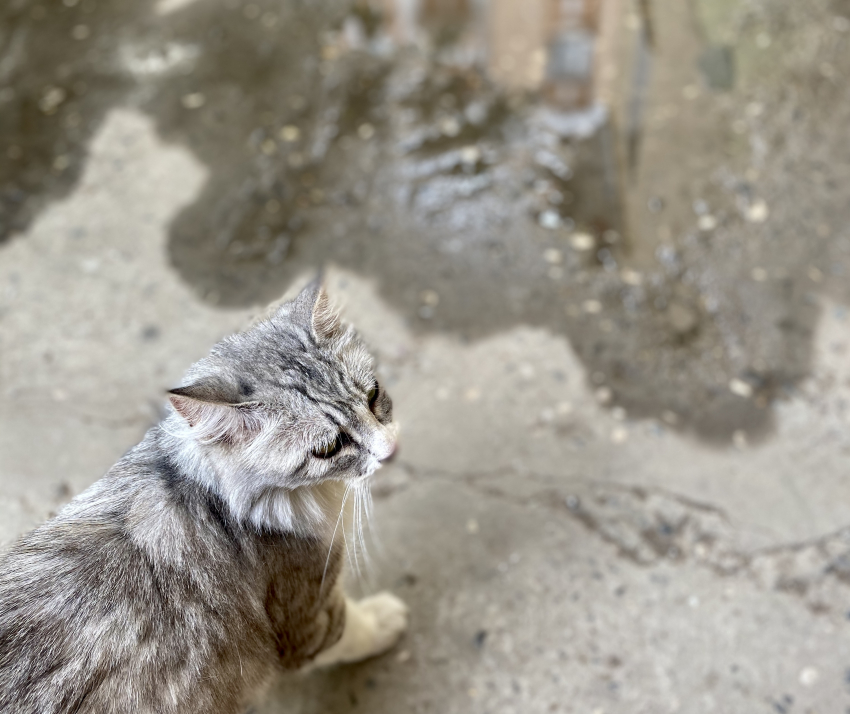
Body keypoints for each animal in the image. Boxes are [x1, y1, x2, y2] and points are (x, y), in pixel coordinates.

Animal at [0, 278, 408, 712]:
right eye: (329, 447)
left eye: (373, 395)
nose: (392, 451)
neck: (216, 500)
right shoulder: (307, 619)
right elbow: (351, 630)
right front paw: (382, 619)